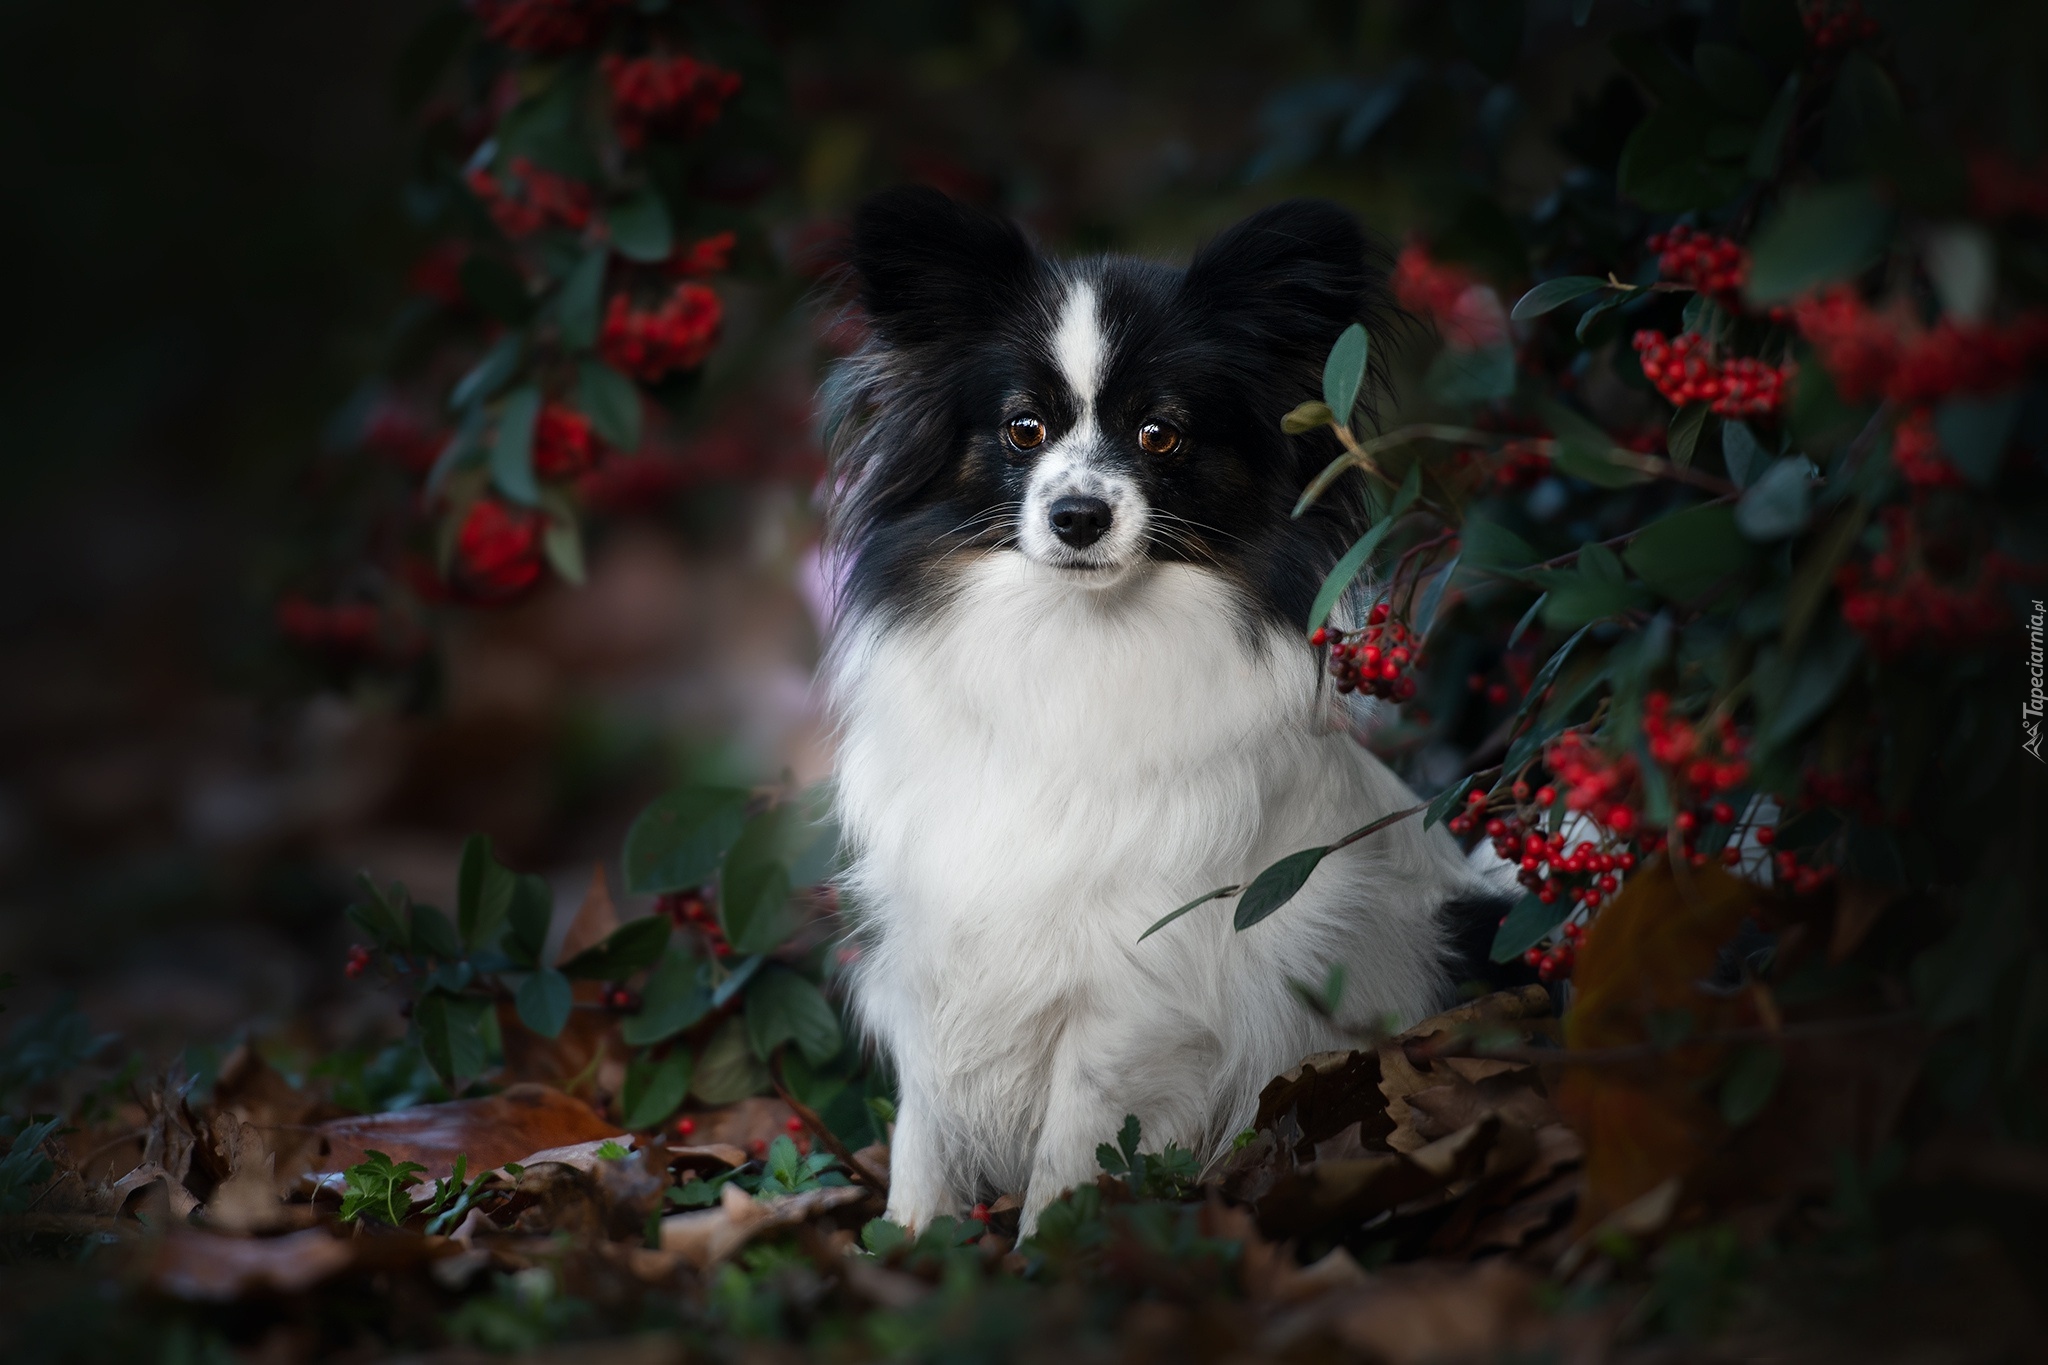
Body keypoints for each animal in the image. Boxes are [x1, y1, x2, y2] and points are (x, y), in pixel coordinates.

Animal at [815, 187, 1507, 1236]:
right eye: (1024, 429)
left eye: (1160, 435)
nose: (1078, 517)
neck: (1073, 644)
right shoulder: (941, 936)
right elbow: (921, 1131)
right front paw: (907, 1245)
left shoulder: (1136, 980)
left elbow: (1072, 1144)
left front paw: (1043, 1252)